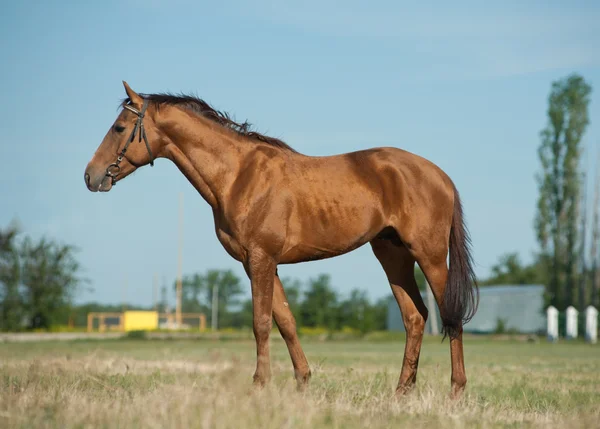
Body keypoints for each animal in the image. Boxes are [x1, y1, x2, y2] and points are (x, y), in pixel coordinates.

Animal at [83, 81, 478, 398]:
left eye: (119, 127)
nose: (91, 176)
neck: (238, 175)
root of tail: (440, 175)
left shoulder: (261, 258)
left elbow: (260, 322)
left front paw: (260, 384)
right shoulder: (257, 263)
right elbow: (285, 321)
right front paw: (302, 381)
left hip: (429, 256)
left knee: (450, 315)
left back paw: (456, 392)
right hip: (393, 256)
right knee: (415, 317)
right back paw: (401, 392)